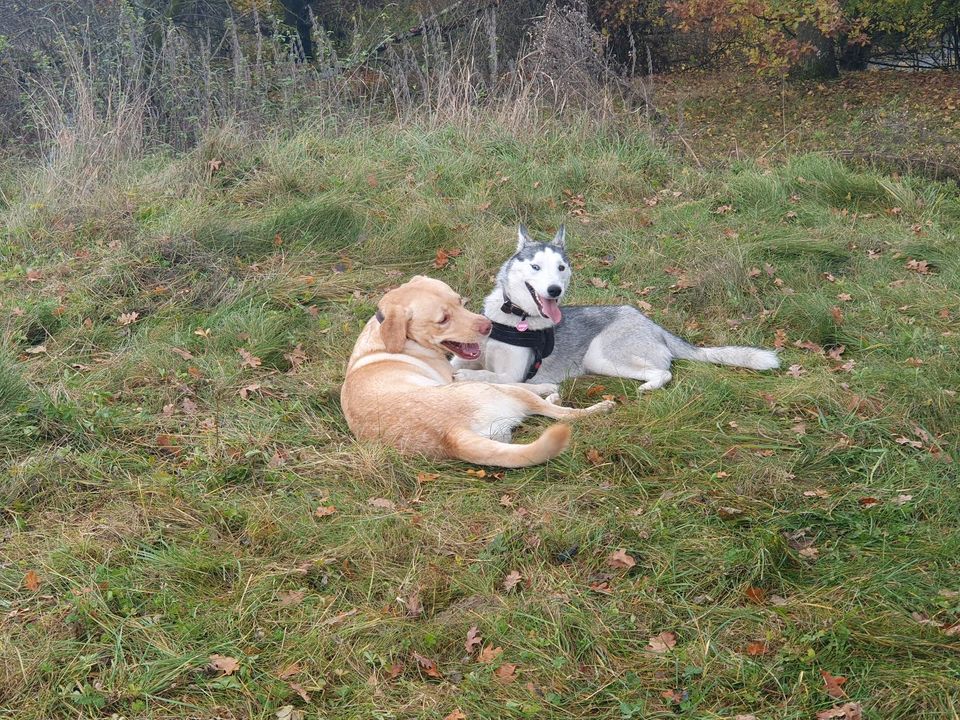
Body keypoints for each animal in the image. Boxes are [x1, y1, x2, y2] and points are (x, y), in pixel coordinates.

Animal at [344, 276, 616, 466]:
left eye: (459, 300)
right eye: (443, 320)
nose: (488, 327)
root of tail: (451, 435)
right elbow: (517, 381)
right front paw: (545, 385)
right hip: (498, 391)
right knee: (562, 413)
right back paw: (589, 404)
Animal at [452, 226, 780, 390]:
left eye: (560, 268)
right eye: (535, 267)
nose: (555, 290)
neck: (514, 317)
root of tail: (652, 324)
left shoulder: (515, 377)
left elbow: (488, 376)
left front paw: (467, 378)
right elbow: (456, 364)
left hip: (600, 355)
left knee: (664, 372)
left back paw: (650, 386)